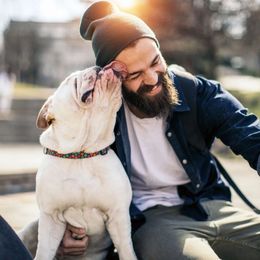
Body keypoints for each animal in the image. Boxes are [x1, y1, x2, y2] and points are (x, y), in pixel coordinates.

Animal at [34, 65, 138, 260]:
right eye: (72, 80)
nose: (97, 67)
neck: (81, 155)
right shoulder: (50, 217)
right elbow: (43, 252)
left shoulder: (118, 216)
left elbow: (127, 252)